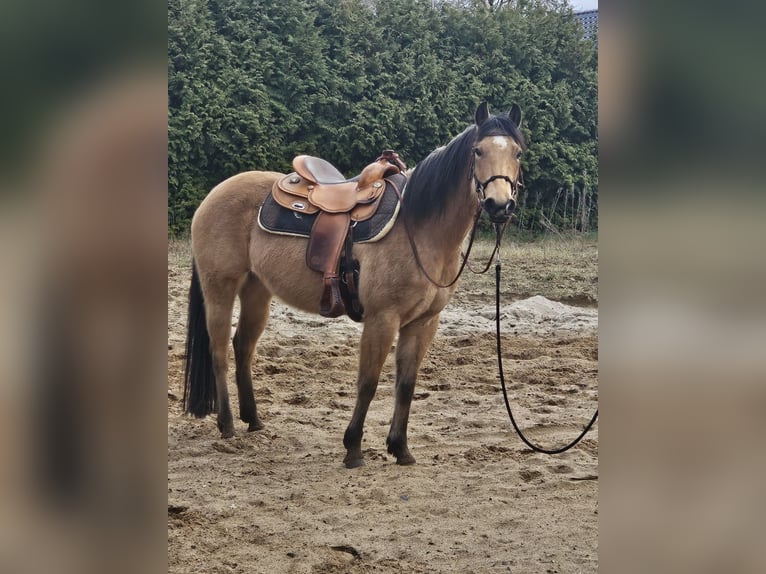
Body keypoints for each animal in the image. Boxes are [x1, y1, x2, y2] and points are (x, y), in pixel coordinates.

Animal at [183, 102, 525, 468]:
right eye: (478, 151)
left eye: (517, 153)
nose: (499, 205)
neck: (418, 227)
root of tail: (213, 195)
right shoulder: (382, 319)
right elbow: (368, 383)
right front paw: (353, 449)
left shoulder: (423, 323)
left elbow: (406, 384)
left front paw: (401, 448)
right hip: (220, 287)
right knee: (219, 350)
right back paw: (227, 424)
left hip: (257, 290)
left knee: (243, 346)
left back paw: (254, 420)